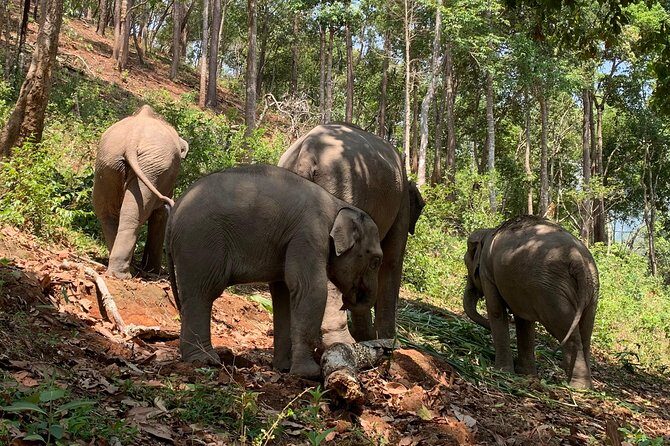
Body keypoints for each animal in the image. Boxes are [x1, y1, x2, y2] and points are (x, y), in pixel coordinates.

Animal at [93, 105, 189, 279]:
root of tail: (131, 140)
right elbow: (161, 214)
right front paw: (154, 272)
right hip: (151, 169)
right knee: (134, 214)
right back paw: (124, 274)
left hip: (108, 163)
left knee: (107, 212)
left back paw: (118, 271)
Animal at [165, 164, 383, 378]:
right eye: (376, 261)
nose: (346, 302)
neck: (336, 204)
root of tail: (175, 209)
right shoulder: (309, 234)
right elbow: (309, 289)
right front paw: (308, 373)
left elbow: (284, 294)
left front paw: (284, 368)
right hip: (200, 242)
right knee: (202, 293)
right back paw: (205, 360)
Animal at [278, 123, 424, 347]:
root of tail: (306, 152)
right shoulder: (402, 207)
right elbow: (392, 261)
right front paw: (387, 341)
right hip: (343, 185)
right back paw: (343, 342)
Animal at [463, 215, 599, 389]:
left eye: (466, 262)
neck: (488, 231)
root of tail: (578, 260)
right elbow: (524, 321)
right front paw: (526, 374)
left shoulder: (487, 273)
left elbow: (496, 311)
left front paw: (502, 371)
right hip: (591, 290)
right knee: (586, 334)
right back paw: (587, 386)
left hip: (551, 293)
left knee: (567, 332)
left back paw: (577, 387)